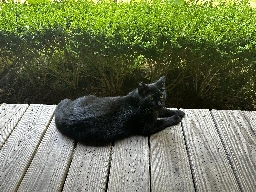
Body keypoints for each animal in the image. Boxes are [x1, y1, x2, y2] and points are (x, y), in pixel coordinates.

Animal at [55, 76, 185, 144]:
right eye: (151, 98)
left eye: (161, 96)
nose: (159, 103)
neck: (137, 103)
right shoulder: (148, 127)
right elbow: (163, 121)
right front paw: (176, 117)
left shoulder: (157, 110)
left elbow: (165, 110)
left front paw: (179, 112)